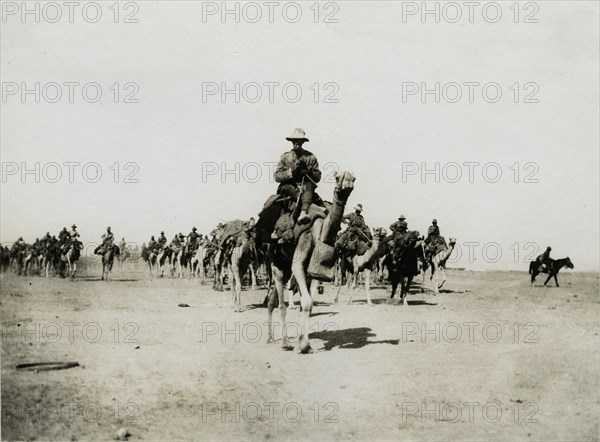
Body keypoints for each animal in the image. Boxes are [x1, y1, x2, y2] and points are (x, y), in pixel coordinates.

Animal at [266, 171, 354, 354]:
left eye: (353, 178)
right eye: (338, 178)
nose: (348, 181)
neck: (318, 231)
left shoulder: (312, 271)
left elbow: (309, 303)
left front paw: (303, 343)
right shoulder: (300, 255)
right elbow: (306, 302)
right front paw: (304, 346)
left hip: (285, 267)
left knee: (272, 300)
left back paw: (270, 337)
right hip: (276, 262)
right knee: (280, 303)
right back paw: (285, 342)